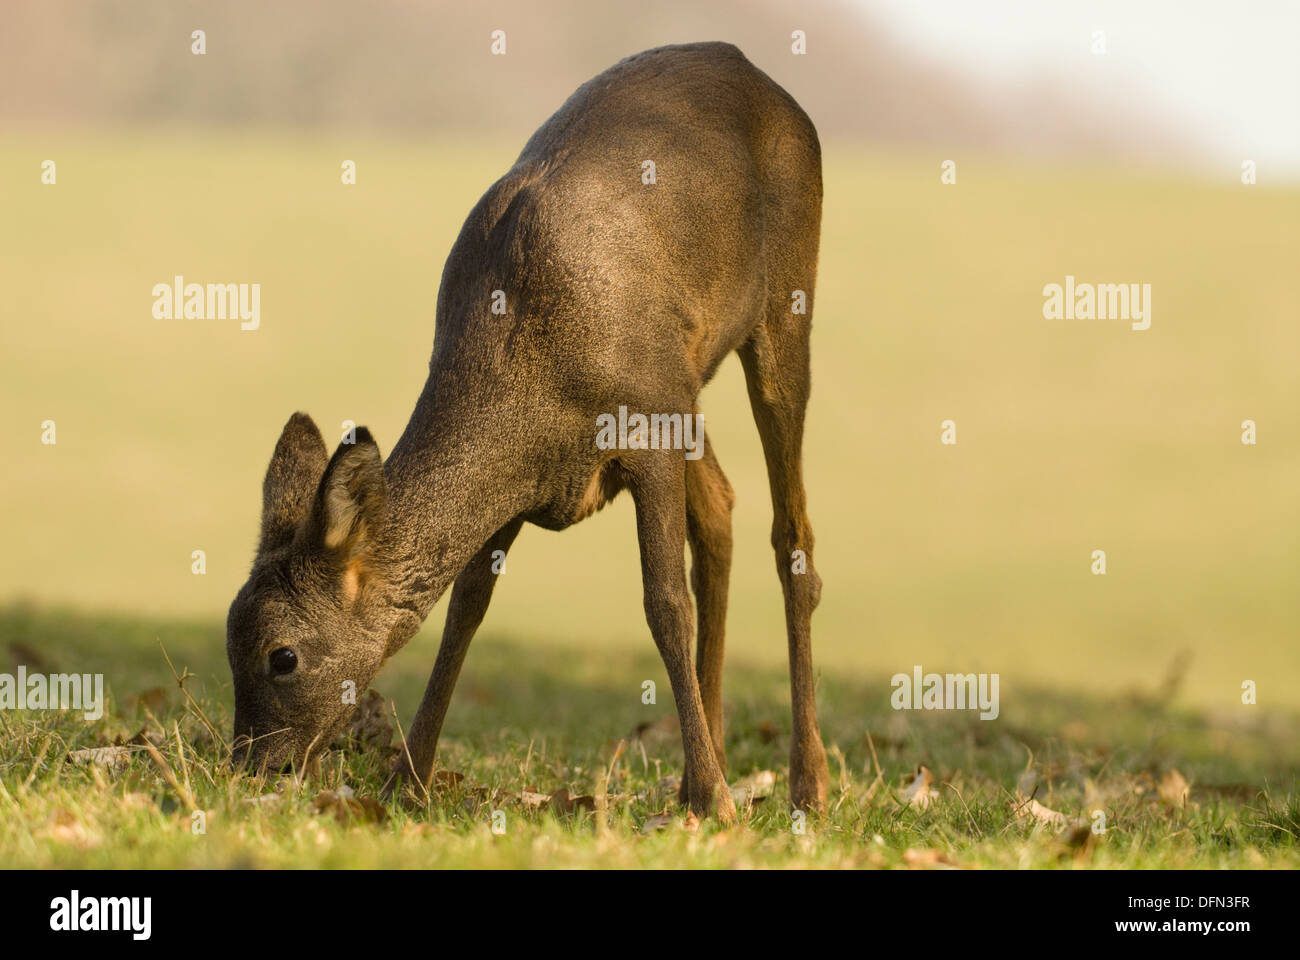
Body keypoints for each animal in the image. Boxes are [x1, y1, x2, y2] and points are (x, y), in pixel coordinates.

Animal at [225, 41, 829, 821]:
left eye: (283, 656)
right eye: (228, 640)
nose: (248, 768)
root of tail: (755, 68)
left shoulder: (645, 423)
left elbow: (665, 603)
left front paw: (715, 804)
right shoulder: (540, 476)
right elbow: (465, 609)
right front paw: (405, 782)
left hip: (781, 302)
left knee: (791, 533)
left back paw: (805, 782)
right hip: (687, 379)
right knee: (721, 506)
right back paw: (716, 762)